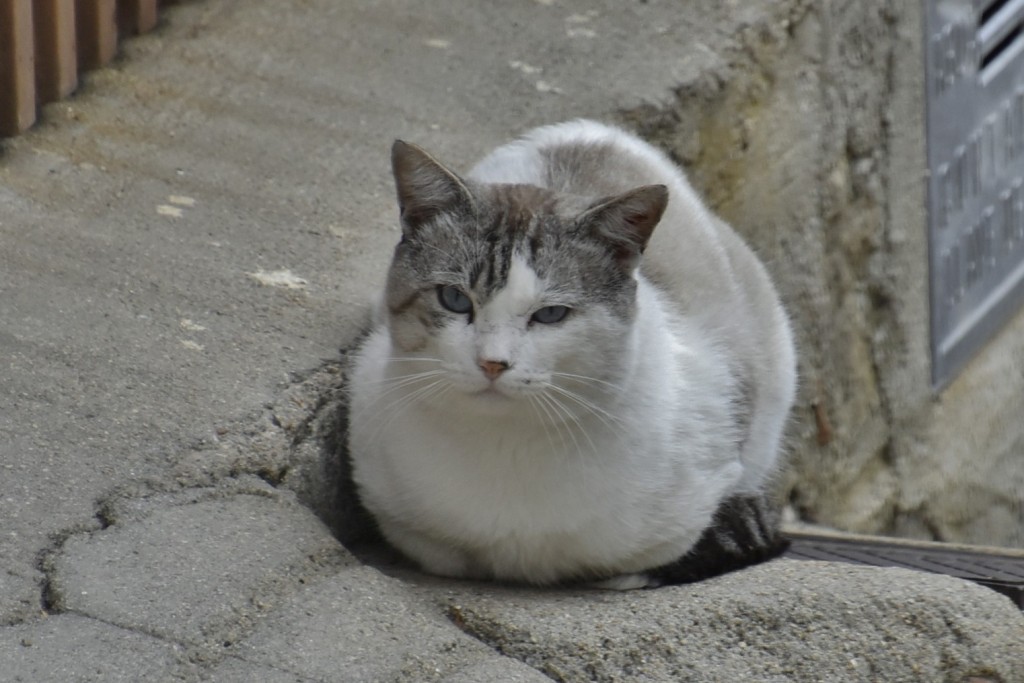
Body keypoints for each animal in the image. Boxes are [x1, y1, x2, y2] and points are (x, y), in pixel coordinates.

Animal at [348, 118, 794, 589]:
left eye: (550, 314)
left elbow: (639, 565)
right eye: (454, 299)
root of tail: (595, 131)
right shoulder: (399, 512)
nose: (492, 363)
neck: (505, 448)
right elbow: (444, 553)